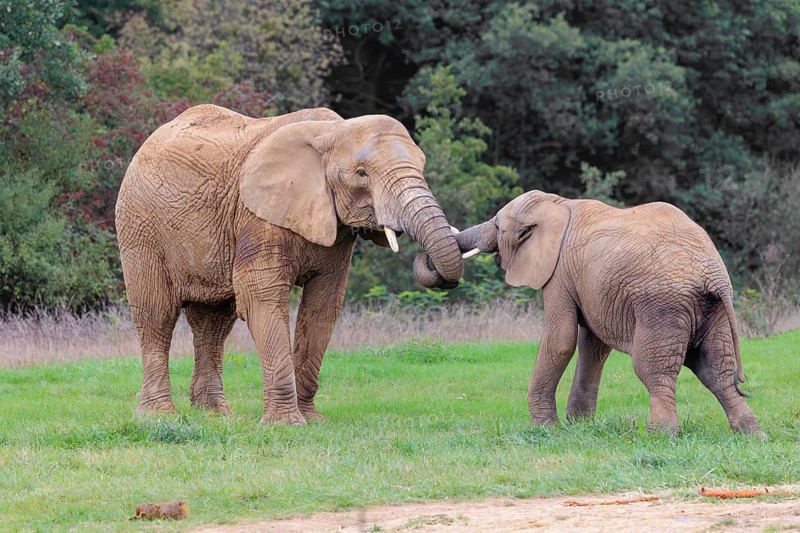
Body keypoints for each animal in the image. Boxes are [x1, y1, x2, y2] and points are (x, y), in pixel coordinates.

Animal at [115, 104, 464, 425]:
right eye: (362, 173)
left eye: (422, 166)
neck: (332, 131)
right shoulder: (257, 214)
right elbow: (260, 295)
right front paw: (286, 424)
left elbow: (323, 304)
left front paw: (312, 419)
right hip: (140, 226)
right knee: (156, 315)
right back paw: (158, 416)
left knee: (213, 323)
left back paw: (215, 415)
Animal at [428, 190, 763, 436]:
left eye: (498, 227)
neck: (557, 204)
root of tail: (714, 277)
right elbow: (593, 345)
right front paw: (579, 426)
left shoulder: (558, 273)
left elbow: (561, 339)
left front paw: (546, 429)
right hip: (713, 311)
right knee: (715, 371)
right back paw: (751, 433)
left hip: (663, 306)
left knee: (654, 370)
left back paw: (661, 435)